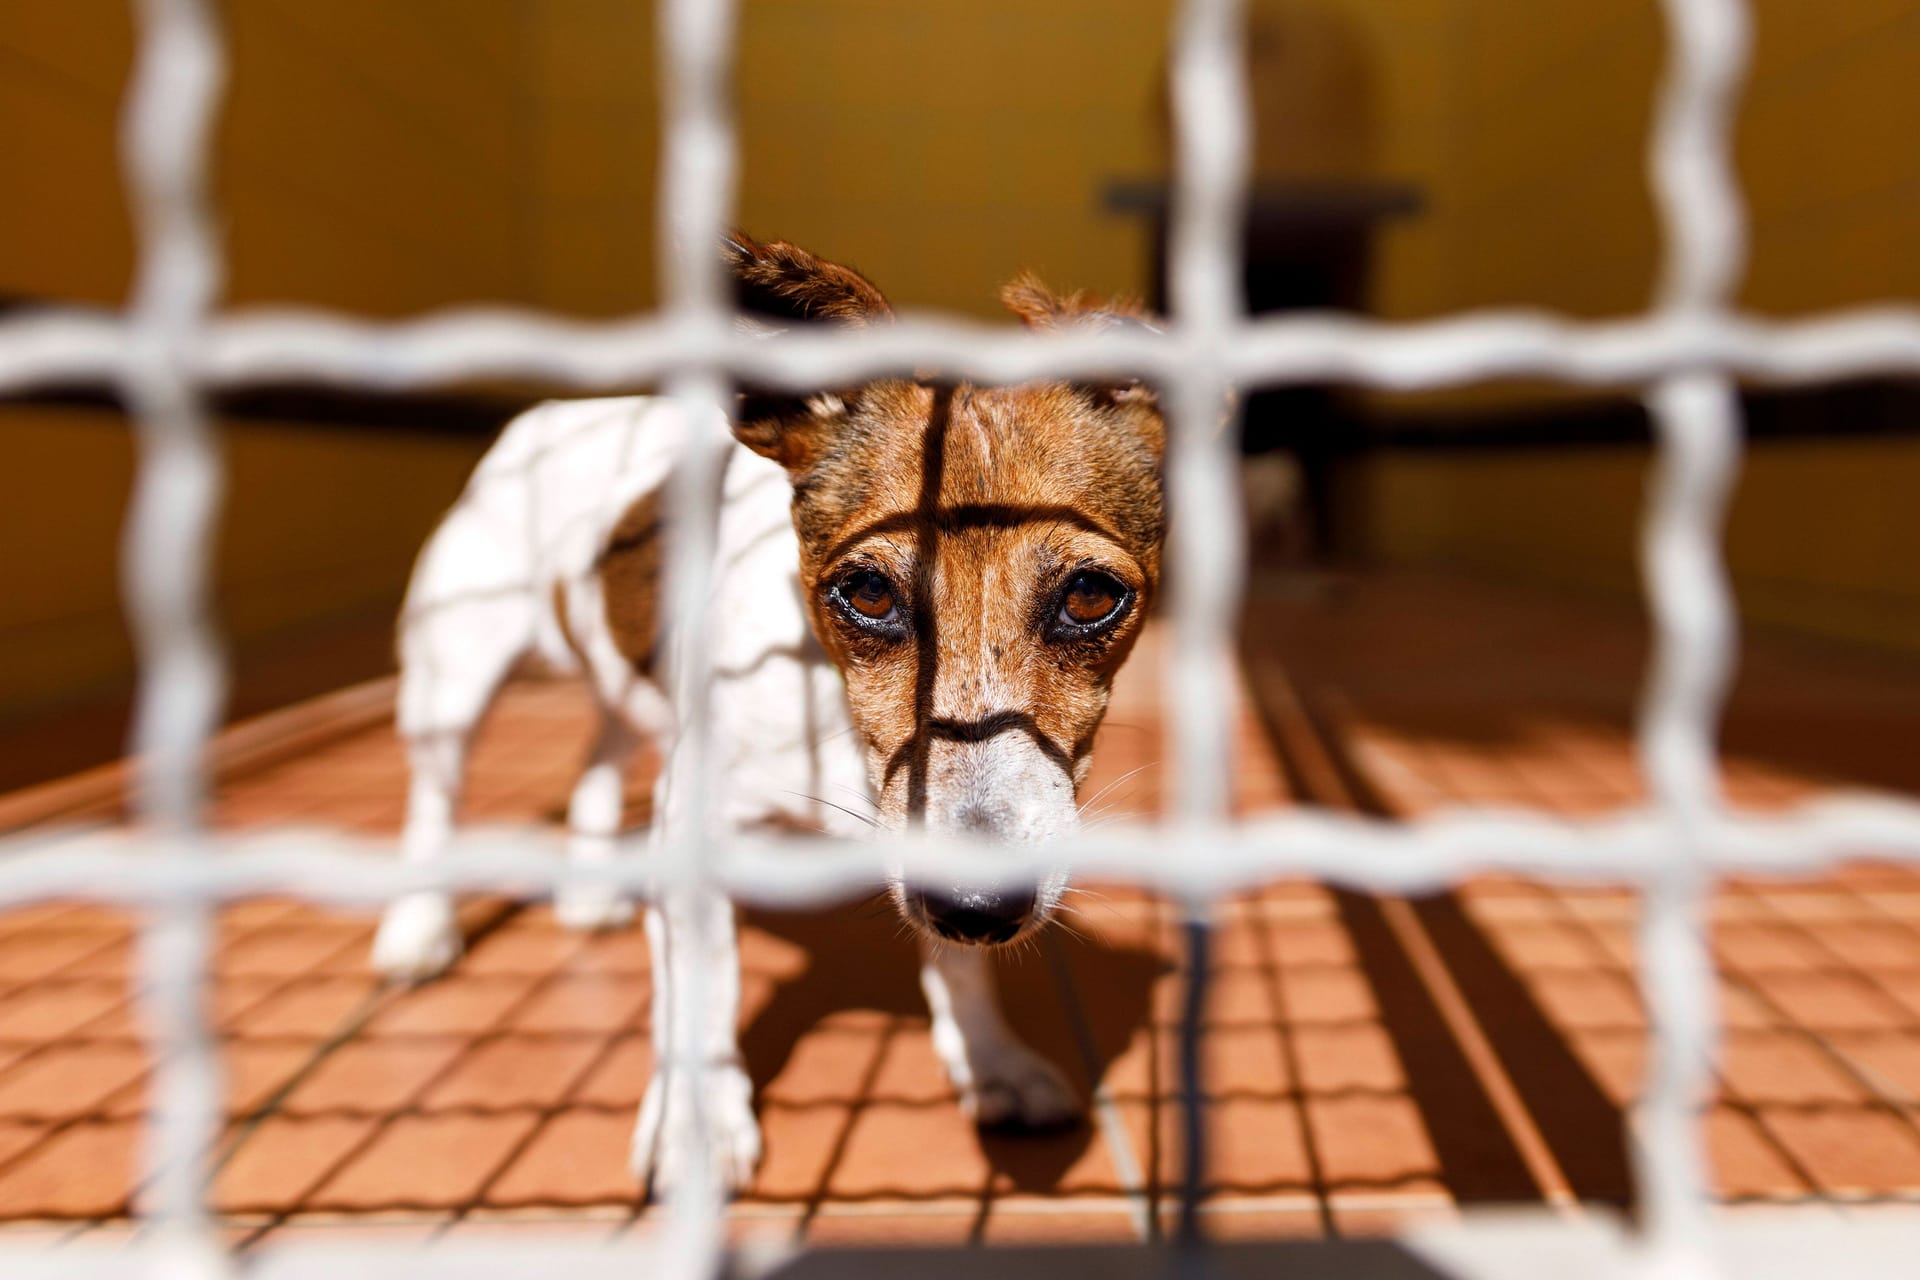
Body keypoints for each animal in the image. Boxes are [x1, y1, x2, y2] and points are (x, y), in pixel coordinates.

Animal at [366, 235, 1159, 1197]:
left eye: (1092, 596)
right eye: (866, 591)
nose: (979, 900)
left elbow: (961, 971)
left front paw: (990, 1061)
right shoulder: (698, 835)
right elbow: (704, 1003)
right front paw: (699, 1130)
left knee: (601, 746)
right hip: (453, 677)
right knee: (435, 801)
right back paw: (419, 930)